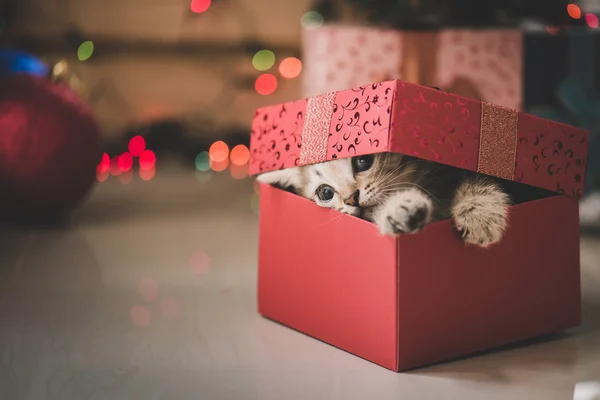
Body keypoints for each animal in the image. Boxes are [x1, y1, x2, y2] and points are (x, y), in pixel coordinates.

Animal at [256, 152, 510, 247]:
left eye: (363, 161)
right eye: (325, 193)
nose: (352, 199)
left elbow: (475, 179)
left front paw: (480, 217)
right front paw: (401, 210)